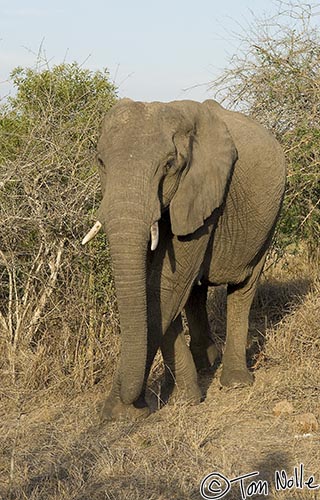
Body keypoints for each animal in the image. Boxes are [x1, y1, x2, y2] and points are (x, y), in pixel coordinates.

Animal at [82, 95, 284, 420]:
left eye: (169, 165)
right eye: (100, 162)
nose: (136, 404)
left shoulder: (202, 192)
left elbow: (166, 286)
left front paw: (122, 411)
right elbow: (160, 288)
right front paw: (180, 397)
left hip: (270, 217)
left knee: (243, 287)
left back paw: (235, 382)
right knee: (195, 291)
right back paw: (206, 364)